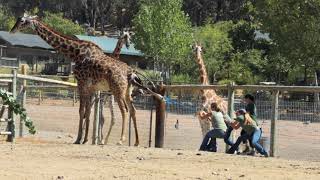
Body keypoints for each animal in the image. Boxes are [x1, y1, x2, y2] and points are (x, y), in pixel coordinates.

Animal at [10, 14, 164, 146]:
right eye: (17, 19)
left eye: (22, 21)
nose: (12, 30)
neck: (76, 53)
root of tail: (130, 72)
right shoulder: (92, 88)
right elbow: (88, 112)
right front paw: (85, 139)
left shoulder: (81, 83)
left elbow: (81, 111)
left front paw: (78, 139)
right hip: (126, 91)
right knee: (132, 110)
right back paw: (136, 142)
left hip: (117, 90)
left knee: (124, 111)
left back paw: (120, 140)